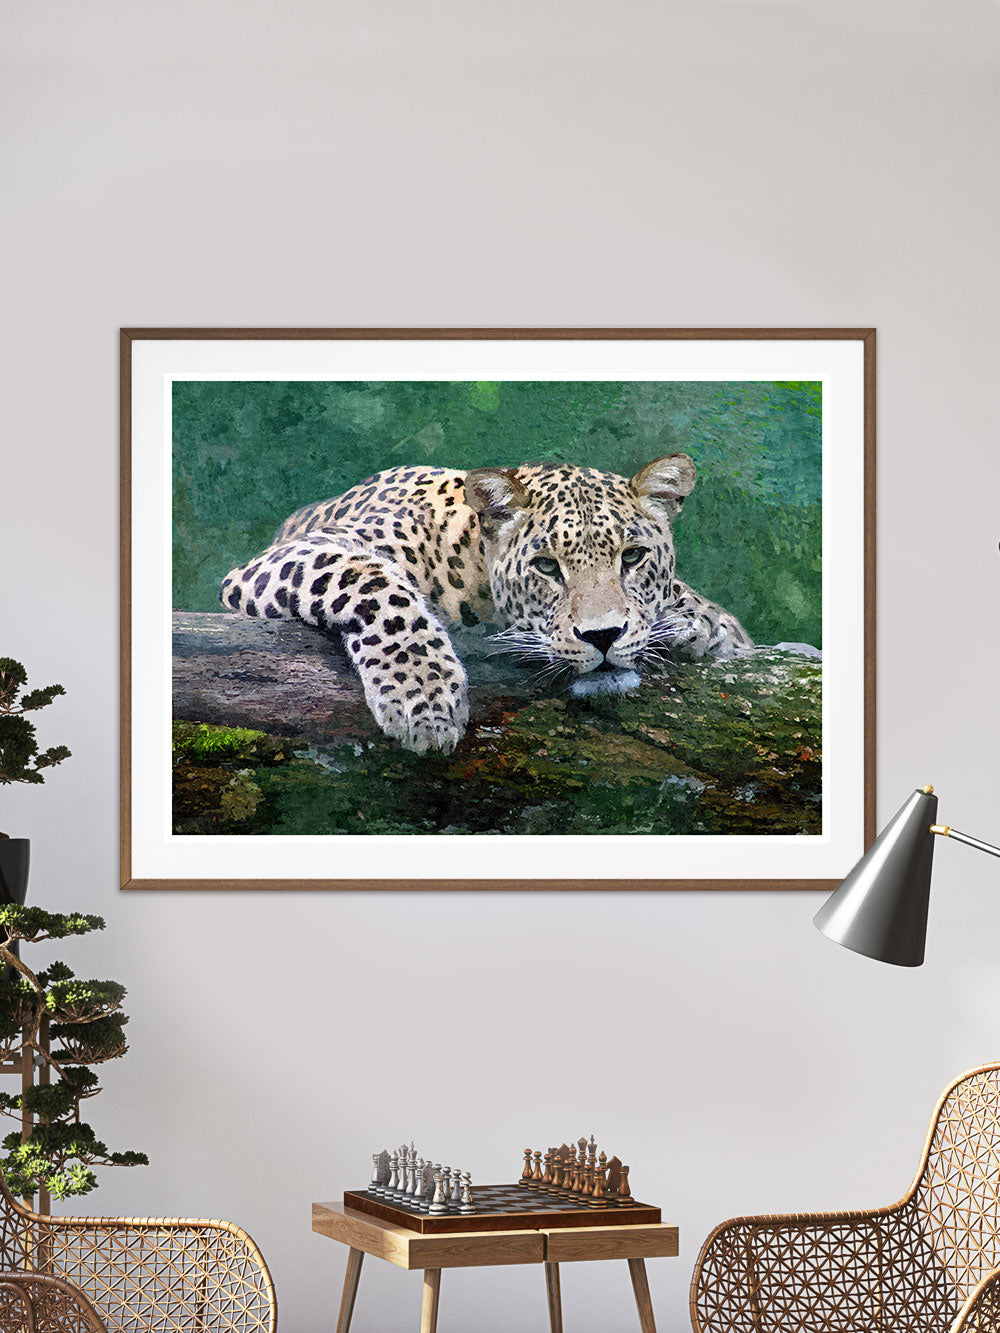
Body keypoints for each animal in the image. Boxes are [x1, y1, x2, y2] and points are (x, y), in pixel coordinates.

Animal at [219, 453, 752, 755]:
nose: (602, 636)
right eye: (546, 567)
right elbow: (377, 586)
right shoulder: (294, 555)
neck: (470, 563)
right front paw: (424, 701)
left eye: (634, 556)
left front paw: (700, 623)